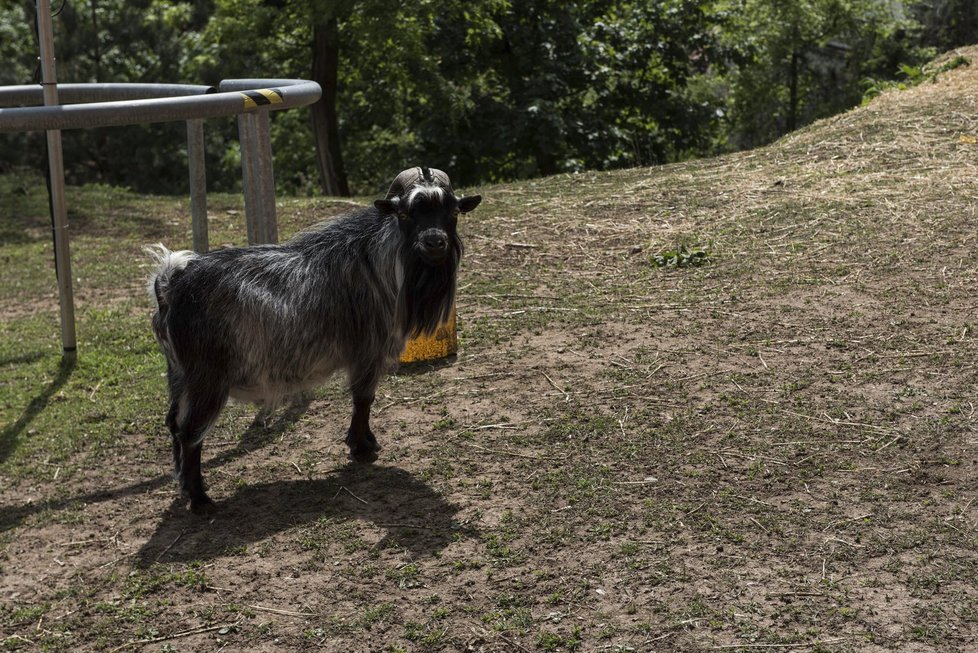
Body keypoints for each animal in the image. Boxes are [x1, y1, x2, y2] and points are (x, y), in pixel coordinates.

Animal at [146, 167, 480, 510]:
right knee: (190, 434)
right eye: (405, 213)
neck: (377, 264)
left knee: (173, 423)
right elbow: (363, 399)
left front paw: (366, 442)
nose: (435, 242)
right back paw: (200, 500)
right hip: (206, 379)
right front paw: (362, 448)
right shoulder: (367, 351)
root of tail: (170, 285)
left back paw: (183, 485)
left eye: (453, 212)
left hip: (178, 375)